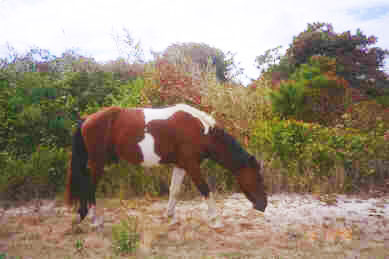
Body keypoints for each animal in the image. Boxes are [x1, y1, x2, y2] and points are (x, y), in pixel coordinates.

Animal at [65, 104, 266, 226]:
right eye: (257, 177)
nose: (263, 205)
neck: (201, 131)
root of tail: (87, 119)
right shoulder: (192, 165)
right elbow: (205, 189)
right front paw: (216, 219)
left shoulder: (181, 165)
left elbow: (174, 191)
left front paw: (169, 216)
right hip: (97, 163)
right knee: (90, 187)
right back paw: (95, 220)